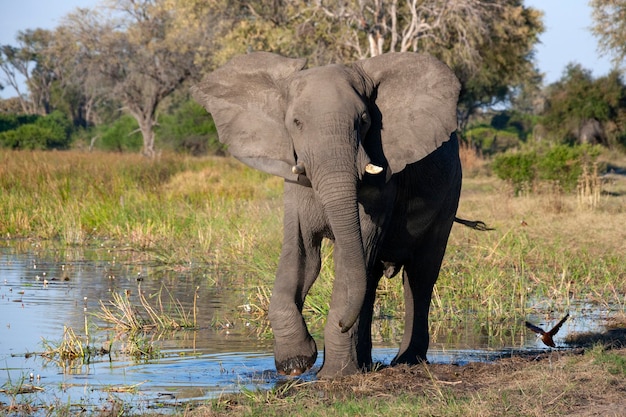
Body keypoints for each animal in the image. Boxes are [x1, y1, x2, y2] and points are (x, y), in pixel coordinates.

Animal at [193, 51, 460, 376]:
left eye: (364, 121)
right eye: (296, 123)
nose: (343, 323)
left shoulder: (383, 184)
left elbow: (350, 260)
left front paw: (333, 375)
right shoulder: (295, 183)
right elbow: (302, 258)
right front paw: (295, 363)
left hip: (450, 195)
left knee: (420, 276)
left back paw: (406, 361)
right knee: (370, 280)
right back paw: (366, 363)